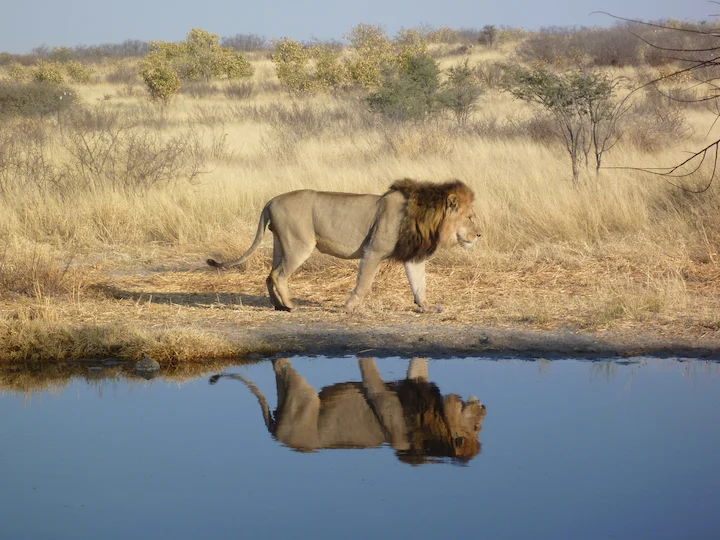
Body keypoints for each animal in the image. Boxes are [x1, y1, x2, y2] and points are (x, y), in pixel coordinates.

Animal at [207, 178, 482, 312]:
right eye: (470, 217)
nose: (479, 234)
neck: (429, 219)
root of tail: (270, 200)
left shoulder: (413, 257)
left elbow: (419, 284)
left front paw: (427, 307)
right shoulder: (373, 251)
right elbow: (364, 284)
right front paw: (350, 308)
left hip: (280, 244)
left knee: (269, 274)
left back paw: (279, 306)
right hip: (299, 245)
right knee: (278, 275)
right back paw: (291, 305)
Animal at [209, 358, 487, 465]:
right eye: (476, 426)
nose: (485, 407)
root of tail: (275, 433)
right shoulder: (383, 399)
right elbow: (368, 368)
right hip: (303, 398)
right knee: (282, 366)